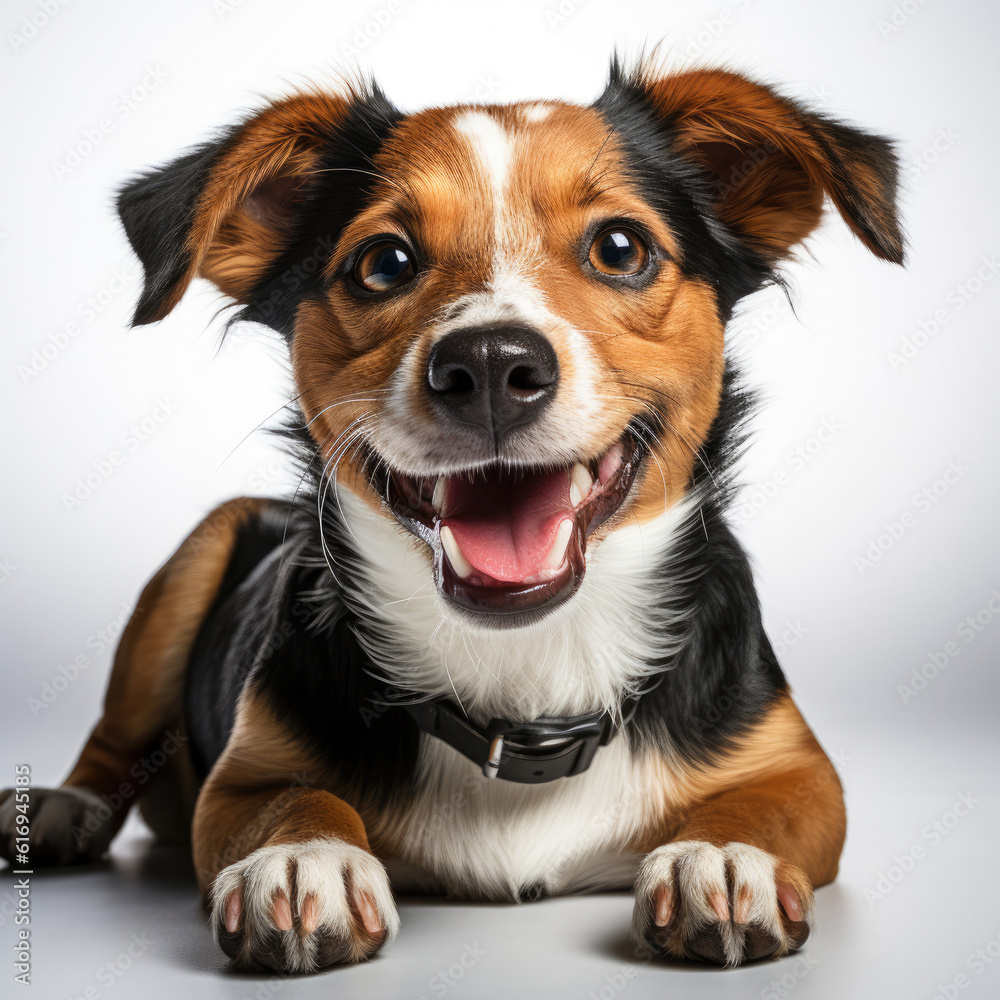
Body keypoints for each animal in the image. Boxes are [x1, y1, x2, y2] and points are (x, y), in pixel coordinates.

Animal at [0, 54, 904, 968]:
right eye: (385, 262)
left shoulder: (801, 769)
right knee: (114, 741)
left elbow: (765, 801)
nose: (493, 363)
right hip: (195, 557)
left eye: (621, 248)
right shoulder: (242, 777)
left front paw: (720, 854)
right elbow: (290, 799)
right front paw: (302, 859)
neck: (527, 673)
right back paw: (62, 809)